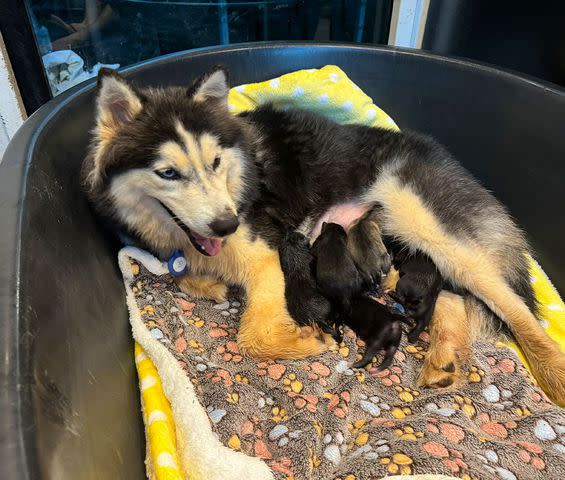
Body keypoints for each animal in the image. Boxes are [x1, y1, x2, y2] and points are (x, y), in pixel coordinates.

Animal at [82, 65, 564, 404]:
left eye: (216, 162)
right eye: (168, 173)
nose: (228, 225)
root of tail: (442, 155)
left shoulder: (267, 254)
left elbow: (252, 336)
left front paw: (308, 340)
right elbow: (184, 275)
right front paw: (210, 284)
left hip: (429, 224)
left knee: (515, 309)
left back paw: (552, 375)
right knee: (450, 296)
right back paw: (444, 360)